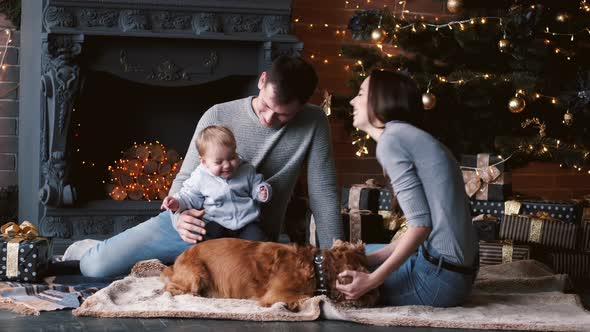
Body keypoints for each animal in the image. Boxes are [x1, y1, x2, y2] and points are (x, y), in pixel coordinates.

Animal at [162, 237, 382, 310]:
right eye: (371, 289)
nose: (380, 297)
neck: (316, 266)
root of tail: (176, 262)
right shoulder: (276, 294)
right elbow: (308, 297)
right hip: (196, 275)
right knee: (170, 288)